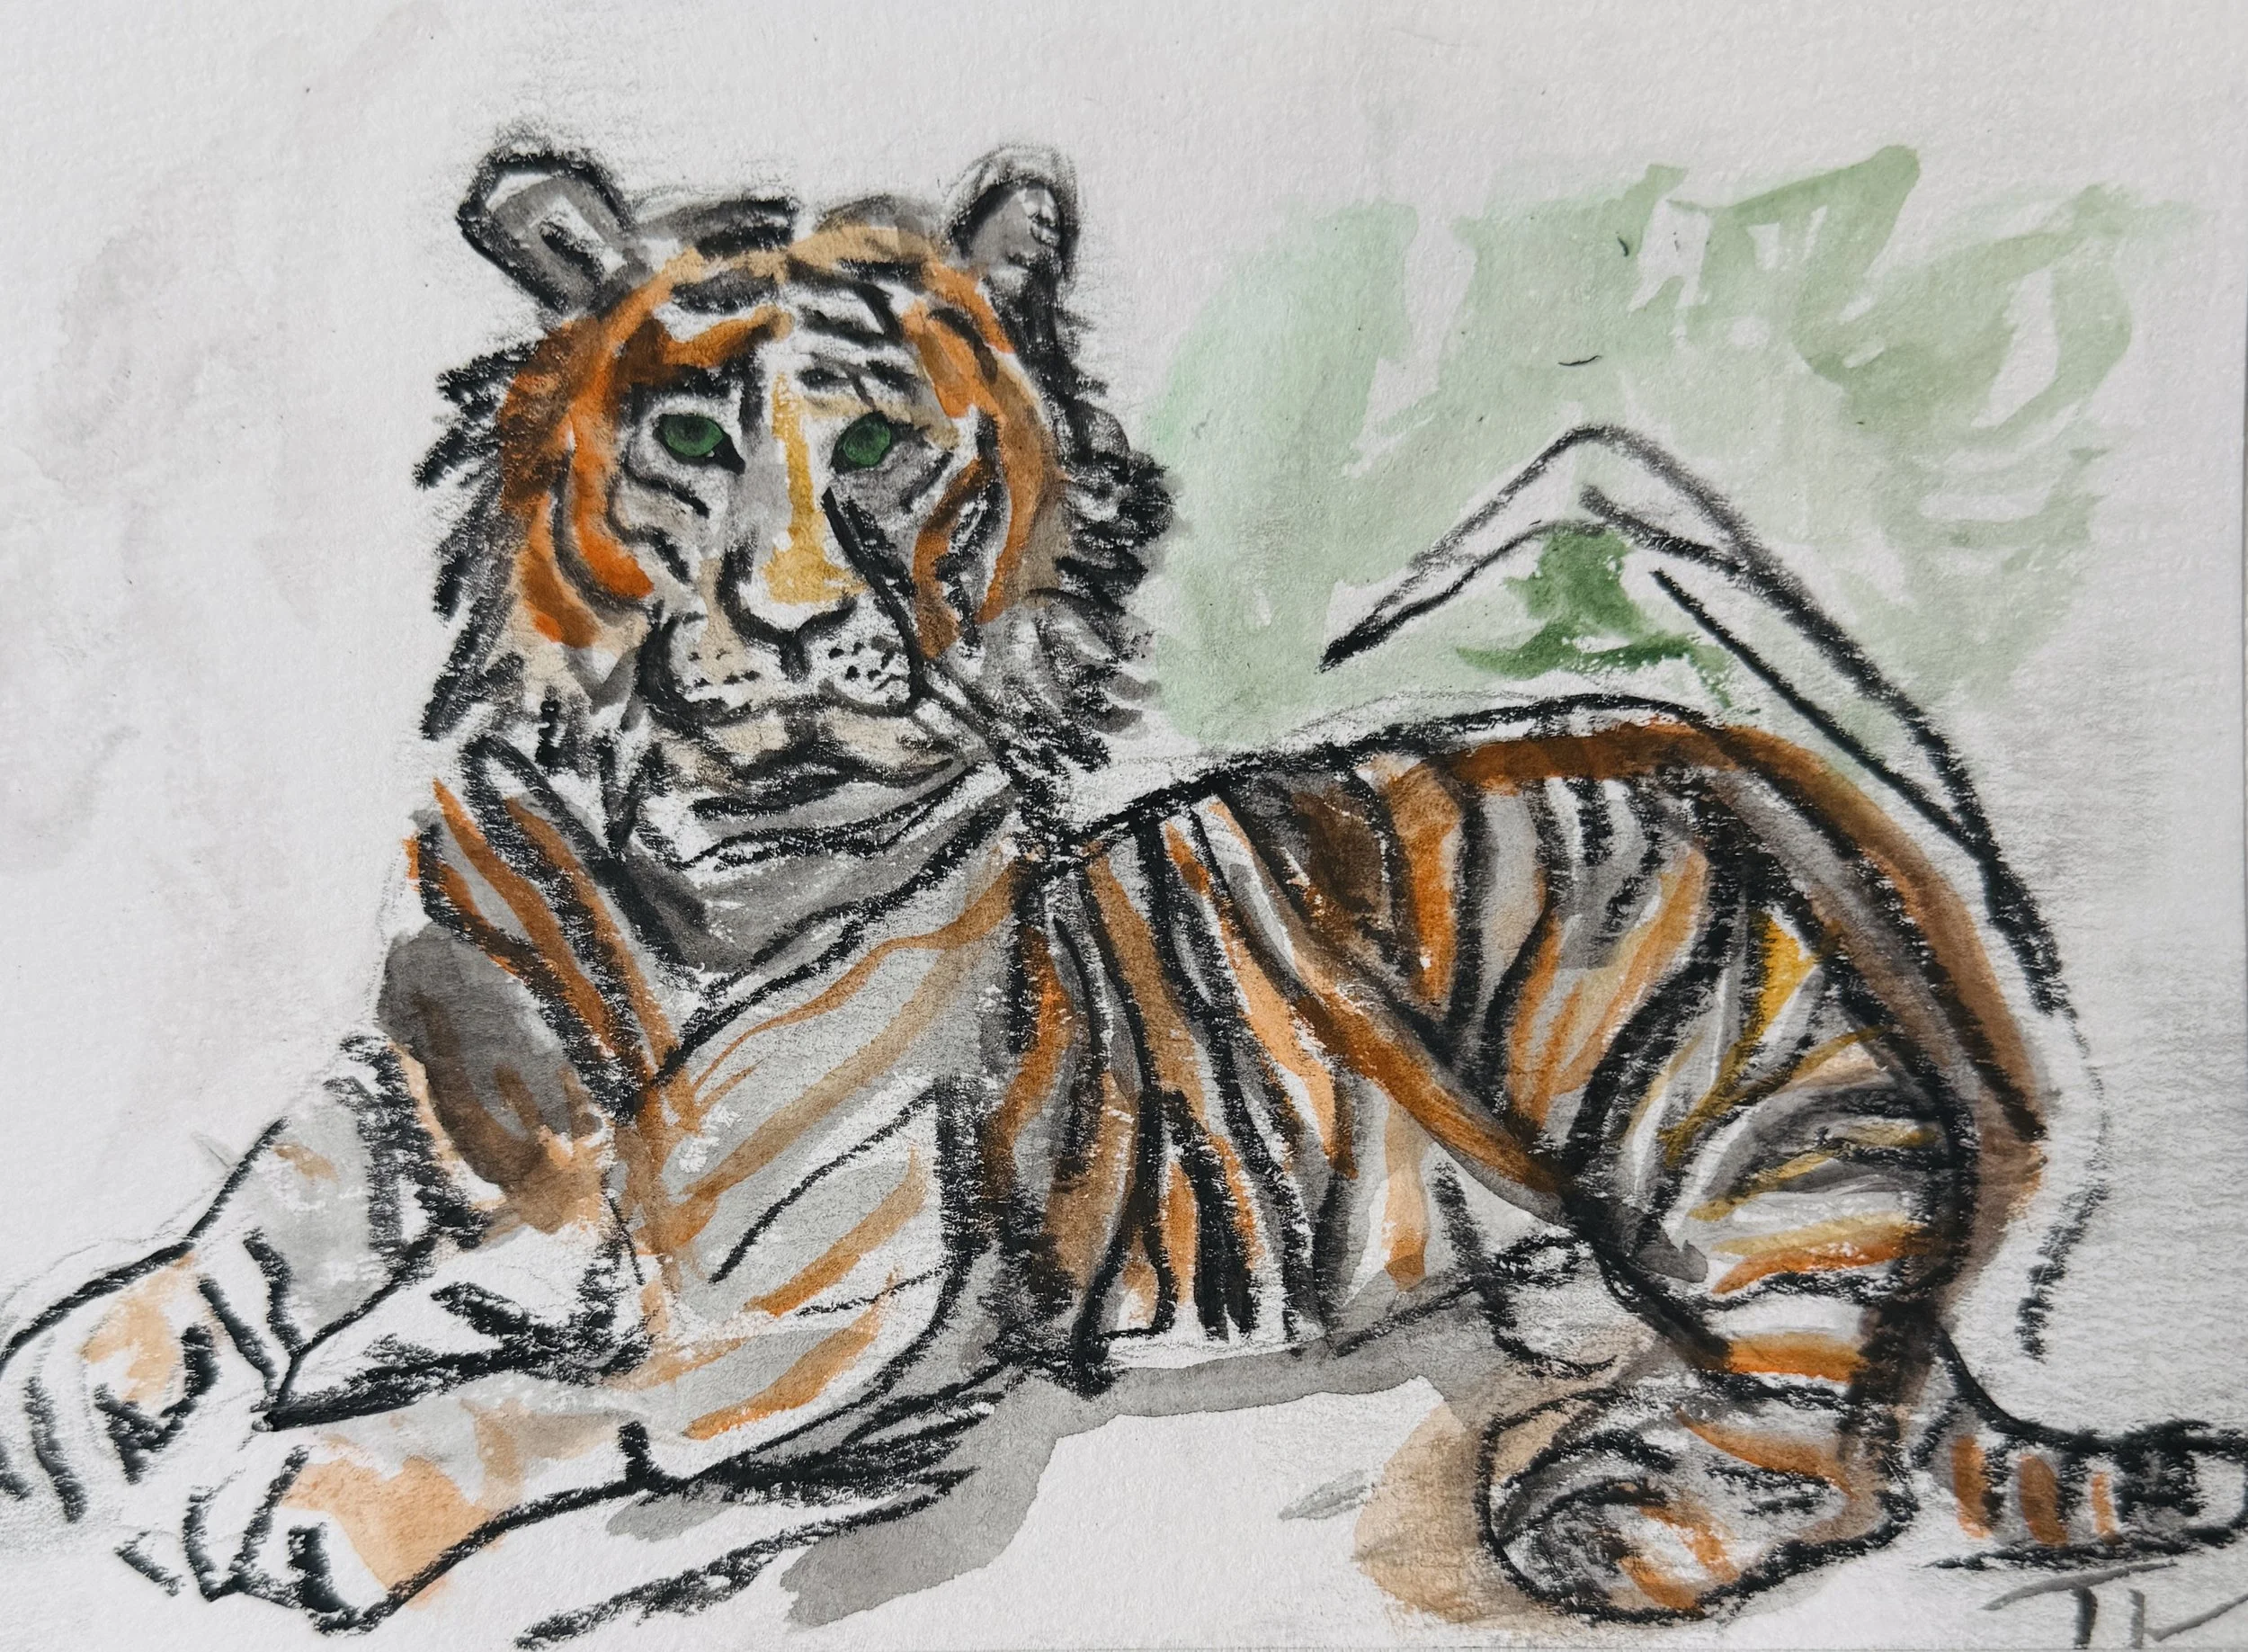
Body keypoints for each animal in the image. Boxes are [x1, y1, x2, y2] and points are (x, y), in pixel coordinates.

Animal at [0, 144, 2240, 1642]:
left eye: (880, 453)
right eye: (693, 437)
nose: (794, 631)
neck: (677, 865)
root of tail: (1794, 785)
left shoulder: (807, 1310)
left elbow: (531, 1396)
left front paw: (304, 1482)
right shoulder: (400, 1095)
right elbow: (239, 1231)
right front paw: (73, 1386)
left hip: (1687, 1073)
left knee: (1834, 1414)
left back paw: (1604, 1514)